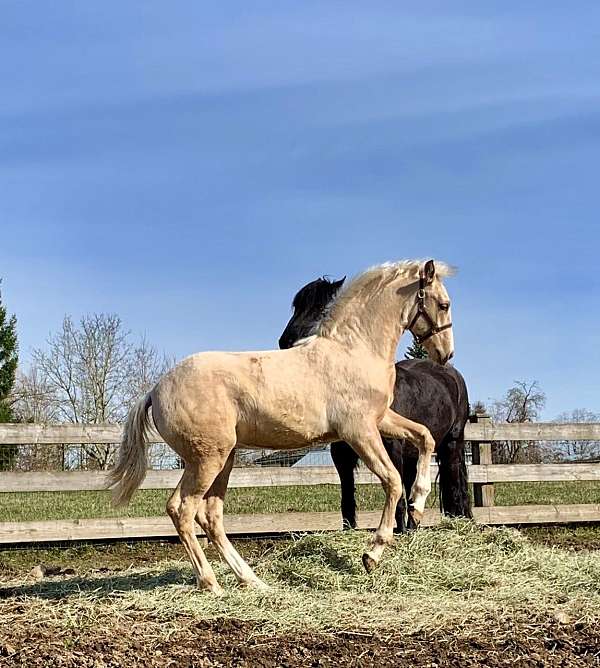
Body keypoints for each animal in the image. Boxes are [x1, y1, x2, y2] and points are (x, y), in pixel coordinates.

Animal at [278, 274, 472, 528]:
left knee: (455, 485)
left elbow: (397, 498)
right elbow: (347, 499)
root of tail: (451, 372)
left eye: (322, 309)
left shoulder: (392, 448)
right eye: (298, 308)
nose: (286, 342)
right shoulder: (342, 456)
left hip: (452, 443)